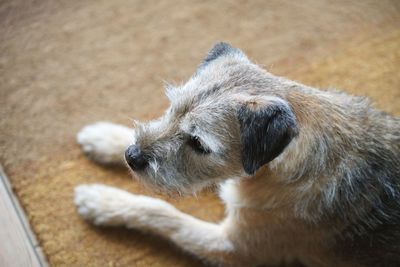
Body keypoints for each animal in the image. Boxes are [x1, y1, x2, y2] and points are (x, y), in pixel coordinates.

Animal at [75, 43, 400, 266]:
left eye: (199, 144)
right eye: (171, 109)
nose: (132, 156)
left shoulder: (232, 248)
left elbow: (162, 212)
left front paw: (104, 201)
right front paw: (106, 137)